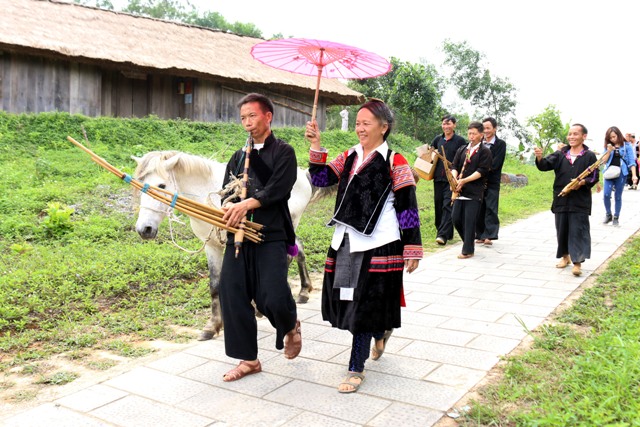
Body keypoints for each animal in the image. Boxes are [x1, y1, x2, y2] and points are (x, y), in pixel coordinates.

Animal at [132, 150, 316, 342]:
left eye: (161, 185)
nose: (144, 229)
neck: (205, 195)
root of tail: (302, 173)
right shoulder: (211, 246)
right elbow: (214, 285)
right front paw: (212, 326)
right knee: (298, 250)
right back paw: (304, 290)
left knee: (287, 257)